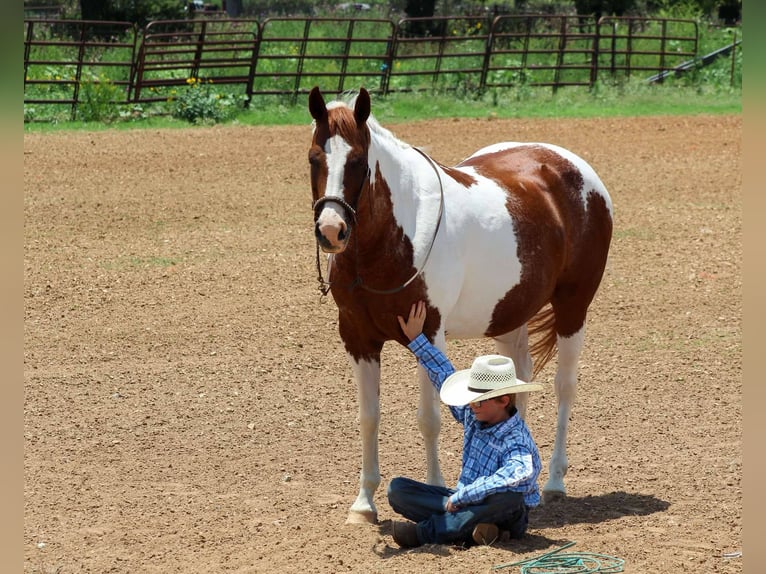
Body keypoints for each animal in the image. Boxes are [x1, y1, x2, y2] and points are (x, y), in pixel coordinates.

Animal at [307, 86, 613, 524]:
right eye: (314, 158)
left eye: (358, 162)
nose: (332, 231)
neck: (392, 240)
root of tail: (572, 165)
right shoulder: (357, 338)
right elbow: (368, 417)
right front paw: (363, 505)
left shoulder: (428, 331)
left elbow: (430, 419)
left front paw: (435, 488)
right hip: (509, 316)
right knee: (519, 377)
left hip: (574, 306)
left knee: (564, 386)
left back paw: (554, 482)